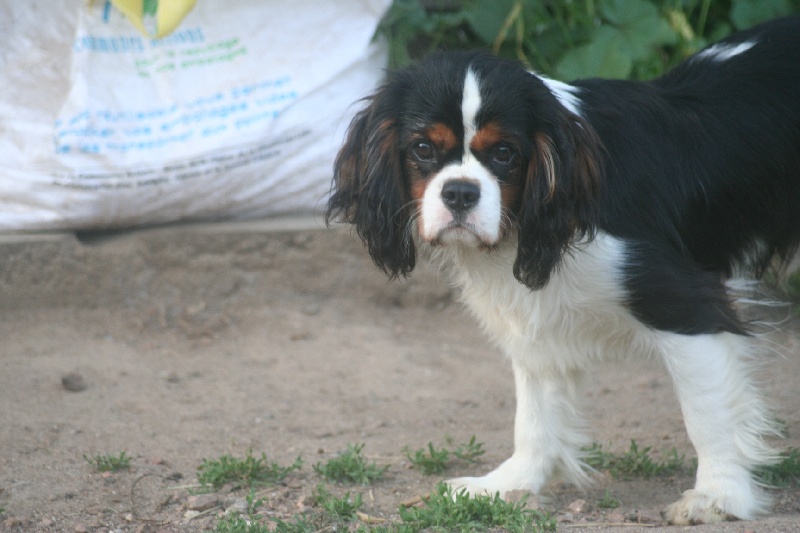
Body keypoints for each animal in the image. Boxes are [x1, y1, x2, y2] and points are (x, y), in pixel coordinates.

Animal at [324, 16, 800, 524]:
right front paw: (509, 483)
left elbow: (706, 415)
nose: (460, 192)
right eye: (422, 149)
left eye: (505, 153)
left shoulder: (685, 305)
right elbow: (535, 412)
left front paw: (718, 496)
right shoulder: (536, 318)